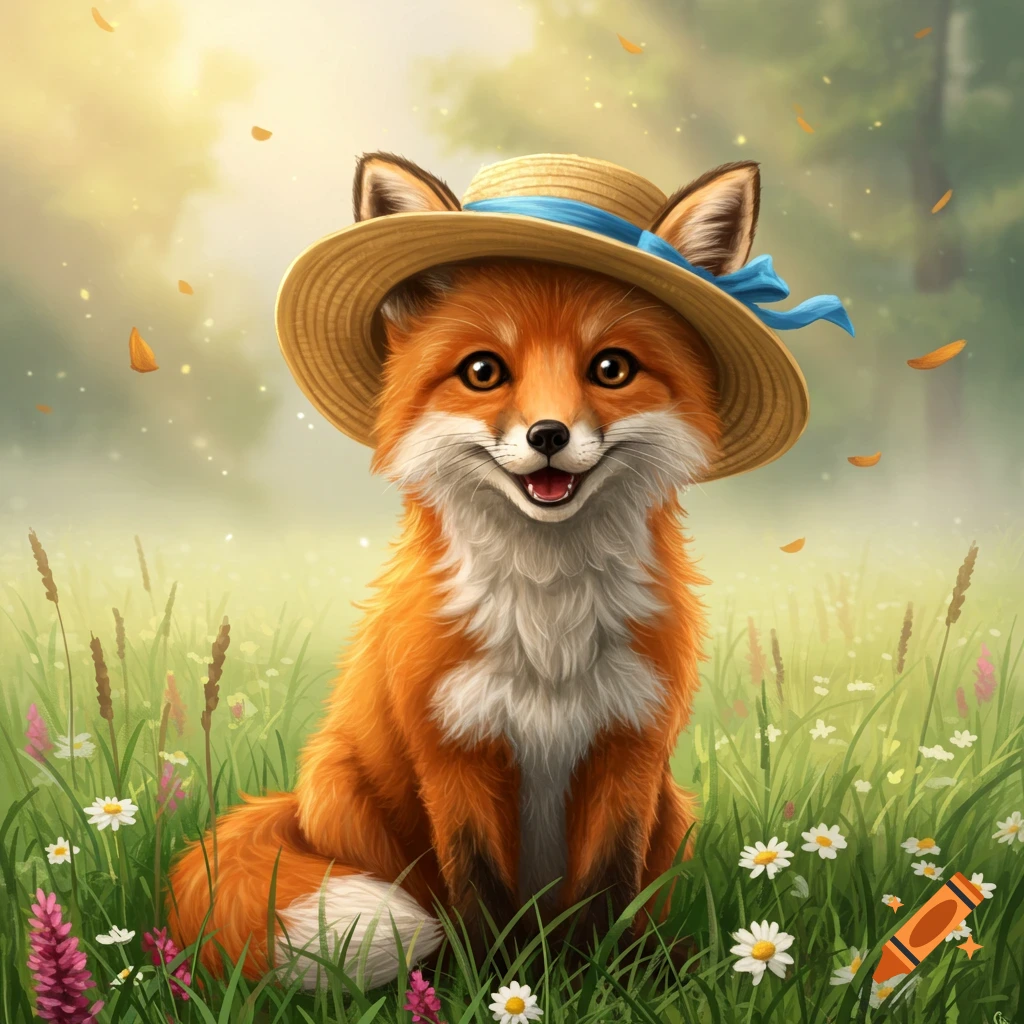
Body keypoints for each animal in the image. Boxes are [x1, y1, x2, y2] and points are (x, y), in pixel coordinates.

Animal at [167, 151, 766, 990]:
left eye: (611, 368)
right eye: (483, 371)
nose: (548, 435)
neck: (548, 625)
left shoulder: (630, 749)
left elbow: (607, 892)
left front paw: (602, 983)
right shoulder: (455, 750)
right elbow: (478, 893)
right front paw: (490, 985)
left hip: (674, 809)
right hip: (346, 790)